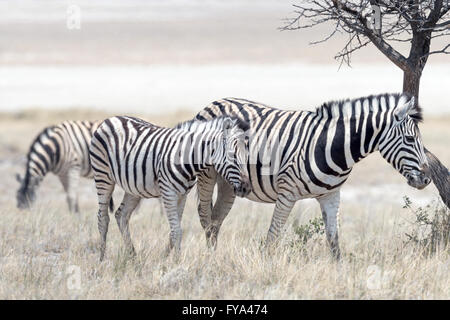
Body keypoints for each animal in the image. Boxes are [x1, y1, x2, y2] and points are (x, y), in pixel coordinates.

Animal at [87, 115, 250, 260]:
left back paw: (133, 257)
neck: (186, 157)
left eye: (247, 156)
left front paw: (167, 259)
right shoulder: (168, 192)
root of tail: (110, 119)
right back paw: (102, 259)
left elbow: (174, 230)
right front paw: (176, 263)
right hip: (103, 176)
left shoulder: (182, 195)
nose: (247, 188)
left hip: (133, 187)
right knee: (103, 218)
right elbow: (177, 231)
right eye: (233, 156)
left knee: (121, 215)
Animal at [194, 92, 432, 258]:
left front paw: (340, 274)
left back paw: (214, 257)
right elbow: (273, 235)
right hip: (207, 175)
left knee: (216, 221)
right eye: (410, 139)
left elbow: (333, 240)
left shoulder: (331, 195)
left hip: (229, 182)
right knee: (205, 217)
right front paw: (267, 267)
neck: (332, 146)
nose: (426, 179)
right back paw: (209, 260)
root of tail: (214, 102)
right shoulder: (286, 194)